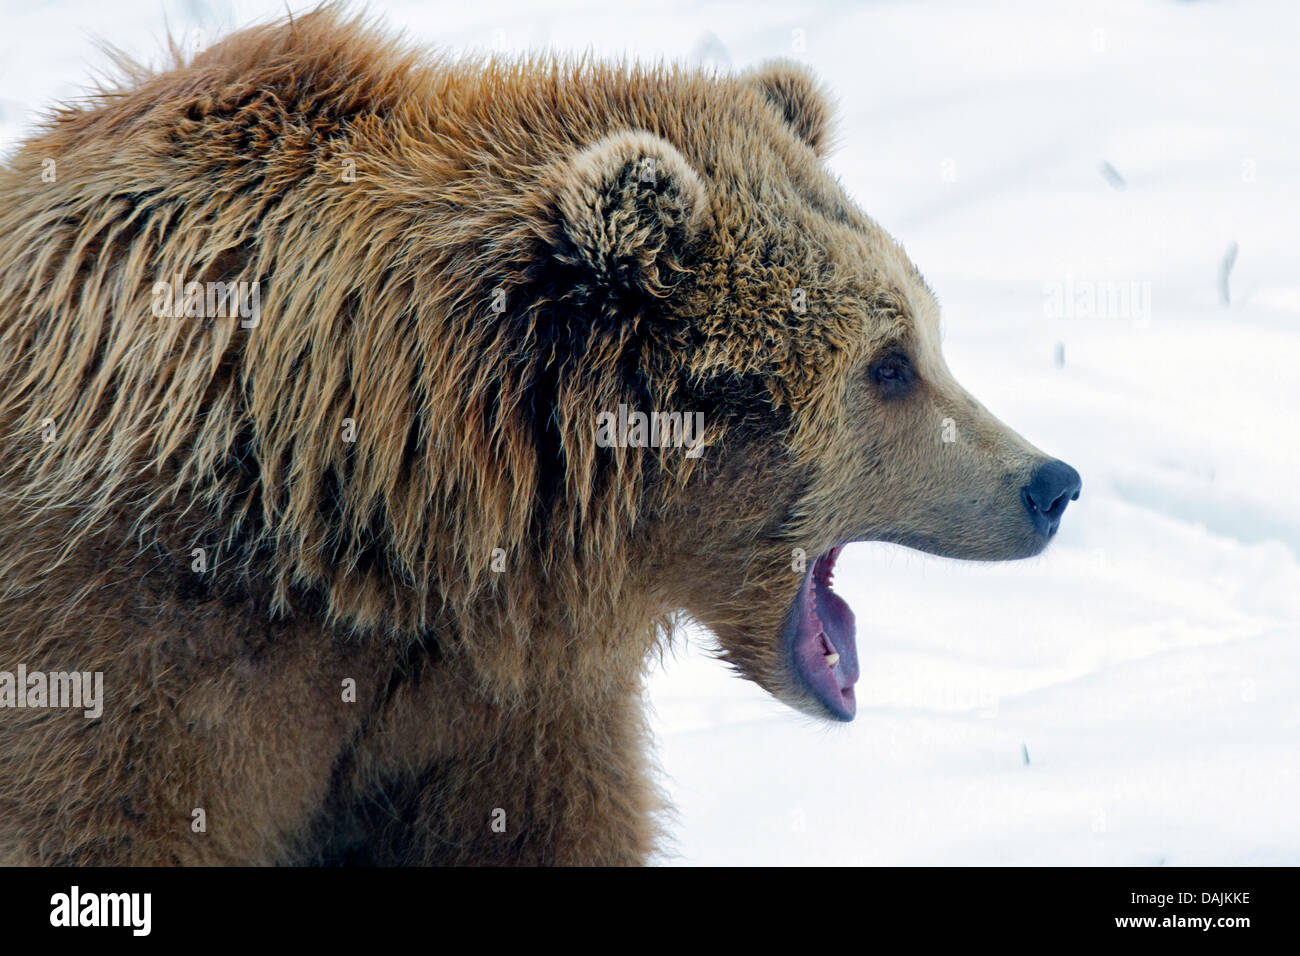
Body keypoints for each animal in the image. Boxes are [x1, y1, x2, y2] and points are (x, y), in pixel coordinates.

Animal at [0, 7, 1076, 863]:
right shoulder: (138, 640)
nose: (1050, 483)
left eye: (928, 334)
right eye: (889, 365)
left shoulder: (504, 701)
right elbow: (105, 816)